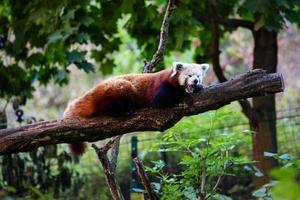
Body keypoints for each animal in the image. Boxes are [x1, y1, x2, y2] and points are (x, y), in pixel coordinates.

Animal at [63, 62, 209, 155]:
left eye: (198, 76)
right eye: (189, 76)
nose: (195, 81)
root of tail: (94, 90)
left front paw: (199, 87)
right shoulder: (159, 87)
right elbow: (162, 100)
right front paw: (184, 92)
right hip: (118, 88)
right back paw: (122, 111)